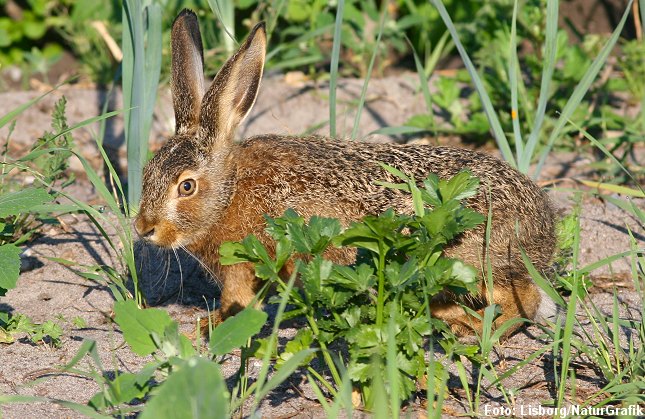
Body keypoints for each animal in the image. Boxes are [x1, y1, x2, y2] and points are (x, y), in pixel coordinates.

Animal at [134, 9, 557, 338]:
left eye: (186, 186)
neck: (231, 190)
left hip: (468, 259)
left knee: (521, 302)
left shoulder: (243, 261)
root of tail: (544, 232)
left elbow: (237, 300)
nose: (143, 228)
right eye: (147, 172)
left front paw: (210, 325)